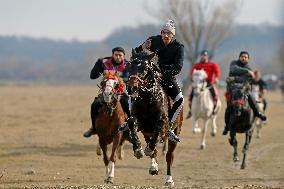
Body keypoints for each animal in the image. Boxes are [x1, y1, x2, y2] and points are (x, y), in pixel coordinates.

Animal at [127, 49, 183, 187]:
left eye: (145, 67)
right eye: (129, 66)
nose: (132, 88)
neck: (148, 97)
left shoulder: (161, 122)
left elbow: (159, 125)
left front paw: (146, 150)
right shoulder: (141, 123)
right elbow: (131, 122)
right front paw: (138, 149)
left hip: (175, 132)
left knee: (169, 156)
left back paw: (169, 180)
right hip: (147, 132)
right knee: (154, 149)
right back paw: (153, 167)